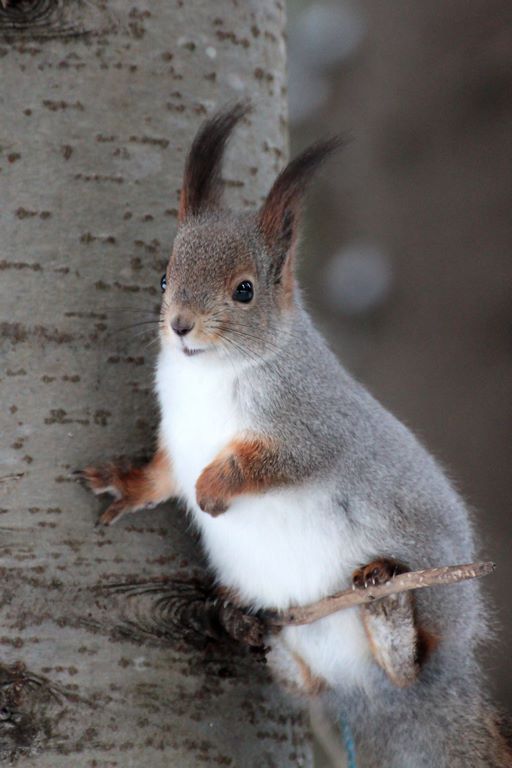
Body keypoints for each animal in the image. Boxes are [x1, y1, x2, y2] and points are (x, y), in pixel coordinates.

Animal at [79, 103, 511, 767]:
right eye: (163, 278)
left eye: (245, 290)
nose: (179, 326)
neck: (211, 373)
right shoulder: (178, 439)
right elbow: (162, 475)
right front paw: (124, 485)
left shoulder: (312, 425)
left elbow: (272, 464)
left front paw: (213, 491)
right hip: (306, 644)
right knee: (307, 679)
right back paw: (247, 619)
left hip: (435, 590)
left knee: (411, 663)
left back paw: (388, 612)